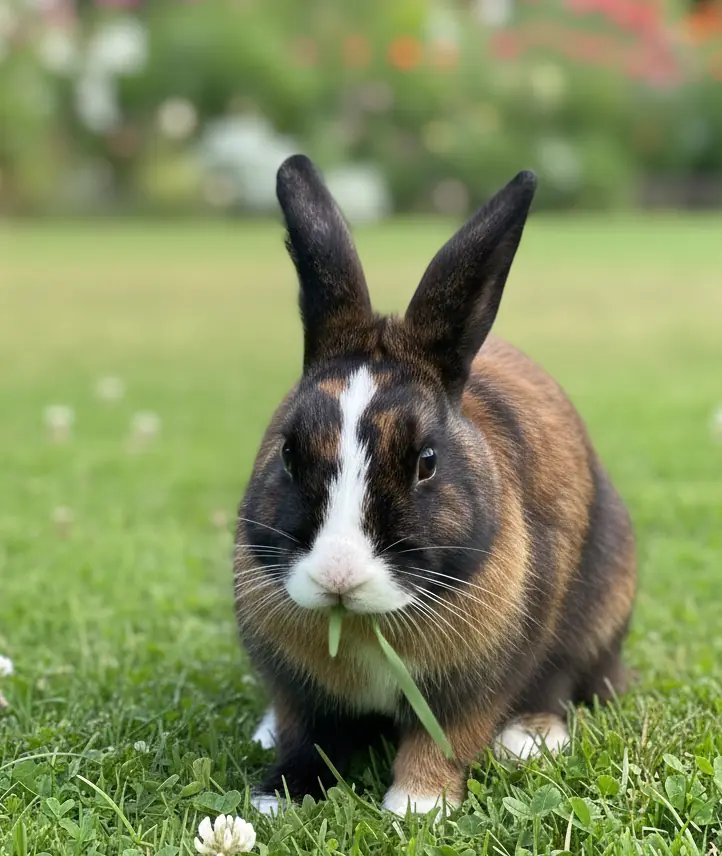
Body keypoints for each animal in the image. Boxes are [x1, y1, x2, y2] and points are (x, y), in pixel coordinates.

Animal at [234, 155, 636, 817]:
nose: (338, 576)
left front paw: (417, 807)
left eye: (426, 461)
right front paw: (277, 799)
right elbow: (308, 736)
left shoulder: (473, 686)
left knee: (563, 681)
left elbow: (443, 739)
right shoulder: (303, 691)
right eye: (288, 452)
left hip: (600, 610)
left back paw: (529, 739)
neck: (364, 625)